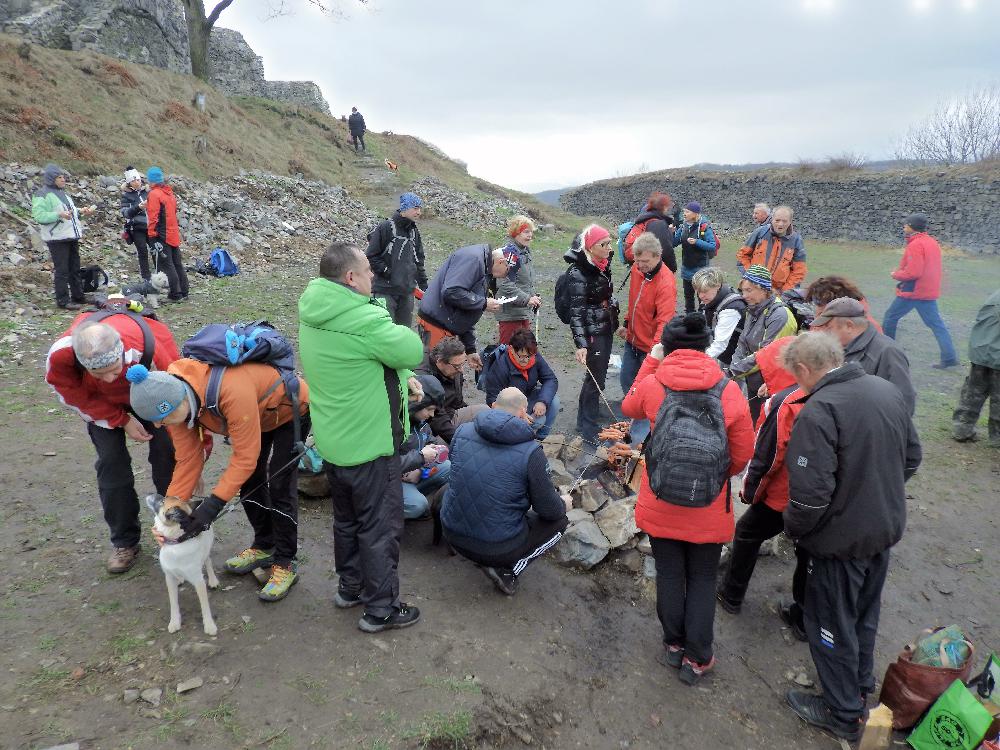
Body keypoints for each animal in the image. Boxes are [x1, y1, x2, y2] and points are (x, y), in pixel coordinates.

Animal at [146, 496, 219, 636]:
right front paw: (175, 621)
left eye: (162, 501)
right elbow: (173, 603)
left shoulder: (199, 582)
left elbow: (204, 605)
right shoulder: (169, 579)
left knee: (208, 561)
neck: (176, 544)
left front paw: (209, 624)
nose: (153, 494)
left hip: (207, 549)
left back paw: (213, 580)